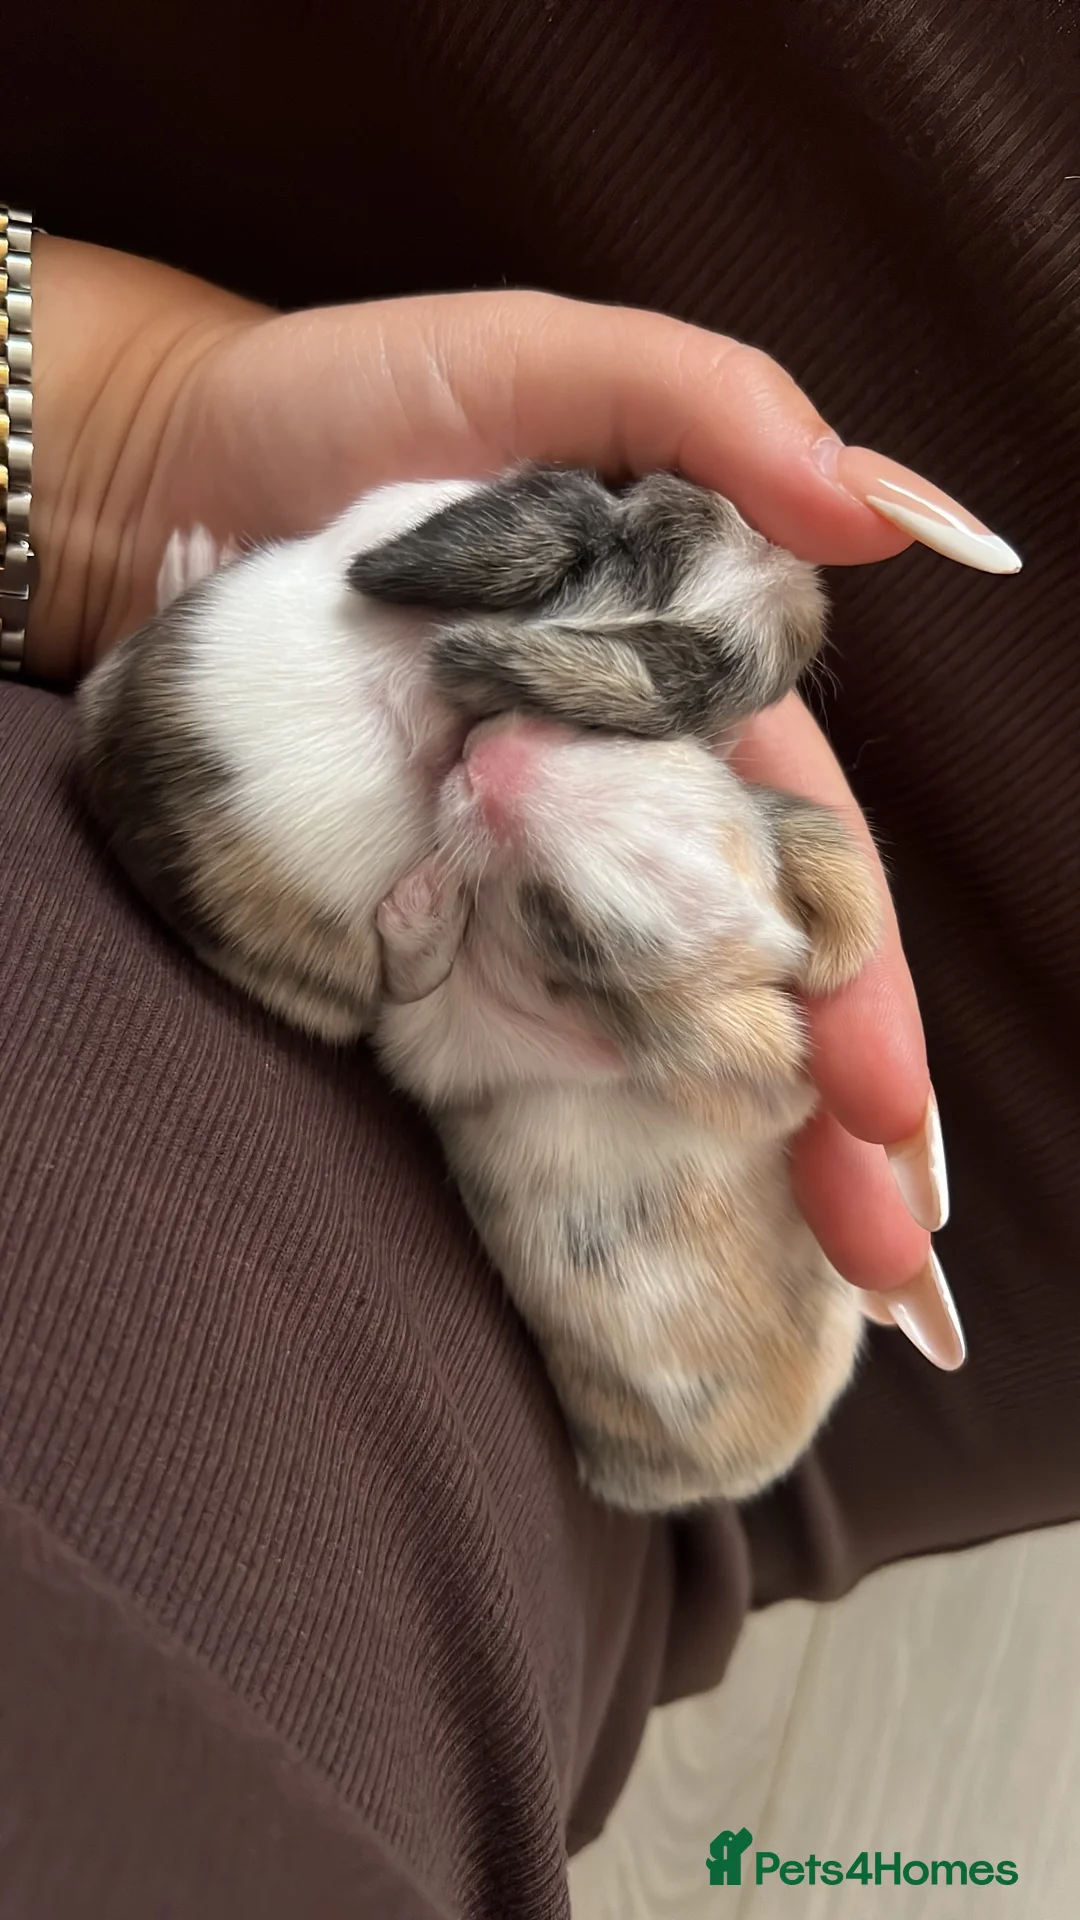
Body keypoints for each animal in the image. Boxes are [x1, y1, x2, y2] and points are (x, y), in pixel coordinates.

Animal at [374, 711, 883, 1512]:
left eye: (562, 926)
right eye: (638, 743)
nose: (481, 754)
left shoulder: (453, 1043)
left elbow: (416, 997)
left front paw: (429, 894)